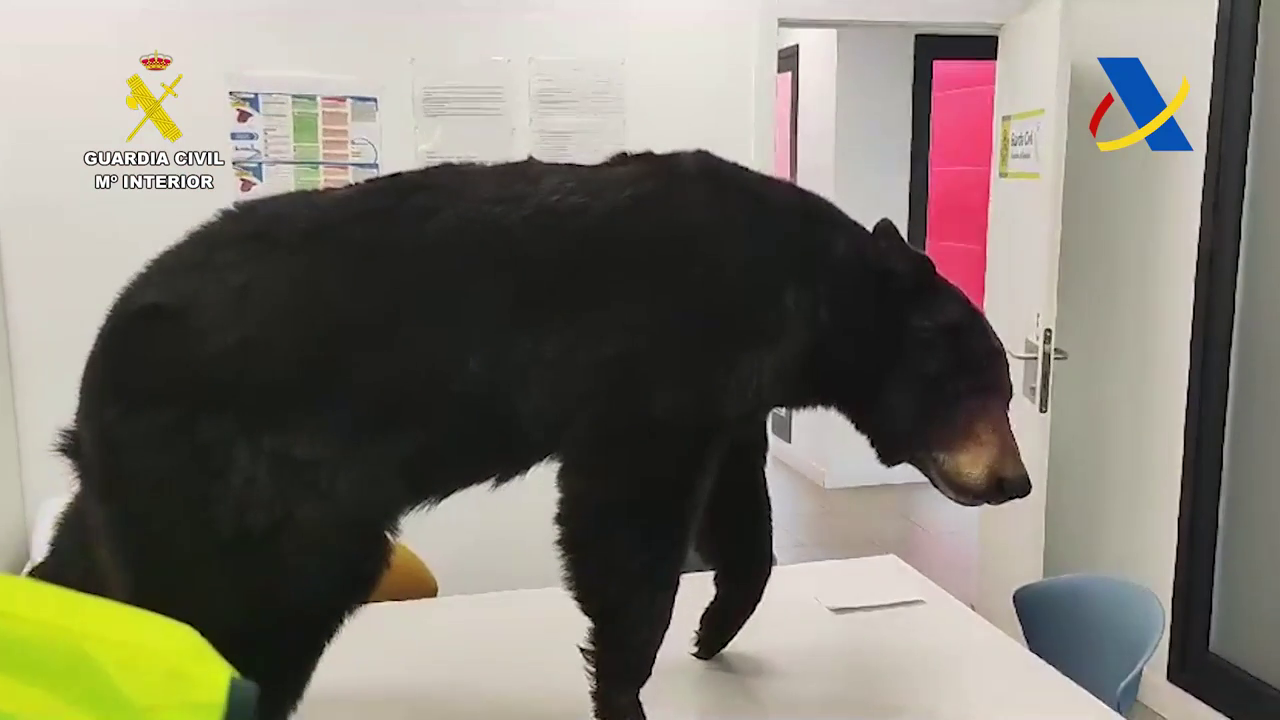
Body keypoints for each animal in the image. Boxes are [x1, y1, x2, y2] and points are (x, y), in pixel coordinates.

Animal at [31, 149, 1030, 720]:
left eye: (1008, 388)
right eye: (980, 384)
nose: (1015, 482)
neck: (802, 295)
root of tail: (99, 362)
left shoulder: (729, 397)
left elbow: (740, 518)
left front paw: (714, 627)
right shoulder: (663, 357)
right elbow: (624, 525)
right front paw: (625, 685)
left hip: (147, 491)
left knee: (91, 568)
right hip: (252, 490)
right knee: (241, 608)